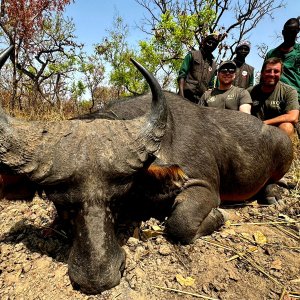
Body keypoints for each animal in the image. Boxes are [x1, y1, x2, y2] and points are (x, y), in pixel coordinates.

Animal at [0, 45, 292, 294]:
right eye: (61, 204)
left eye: (117, 199)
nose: (97, 279)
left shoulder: (203, 187)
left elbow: (180, 224)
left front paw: (220, 216)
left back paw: (272, 194)